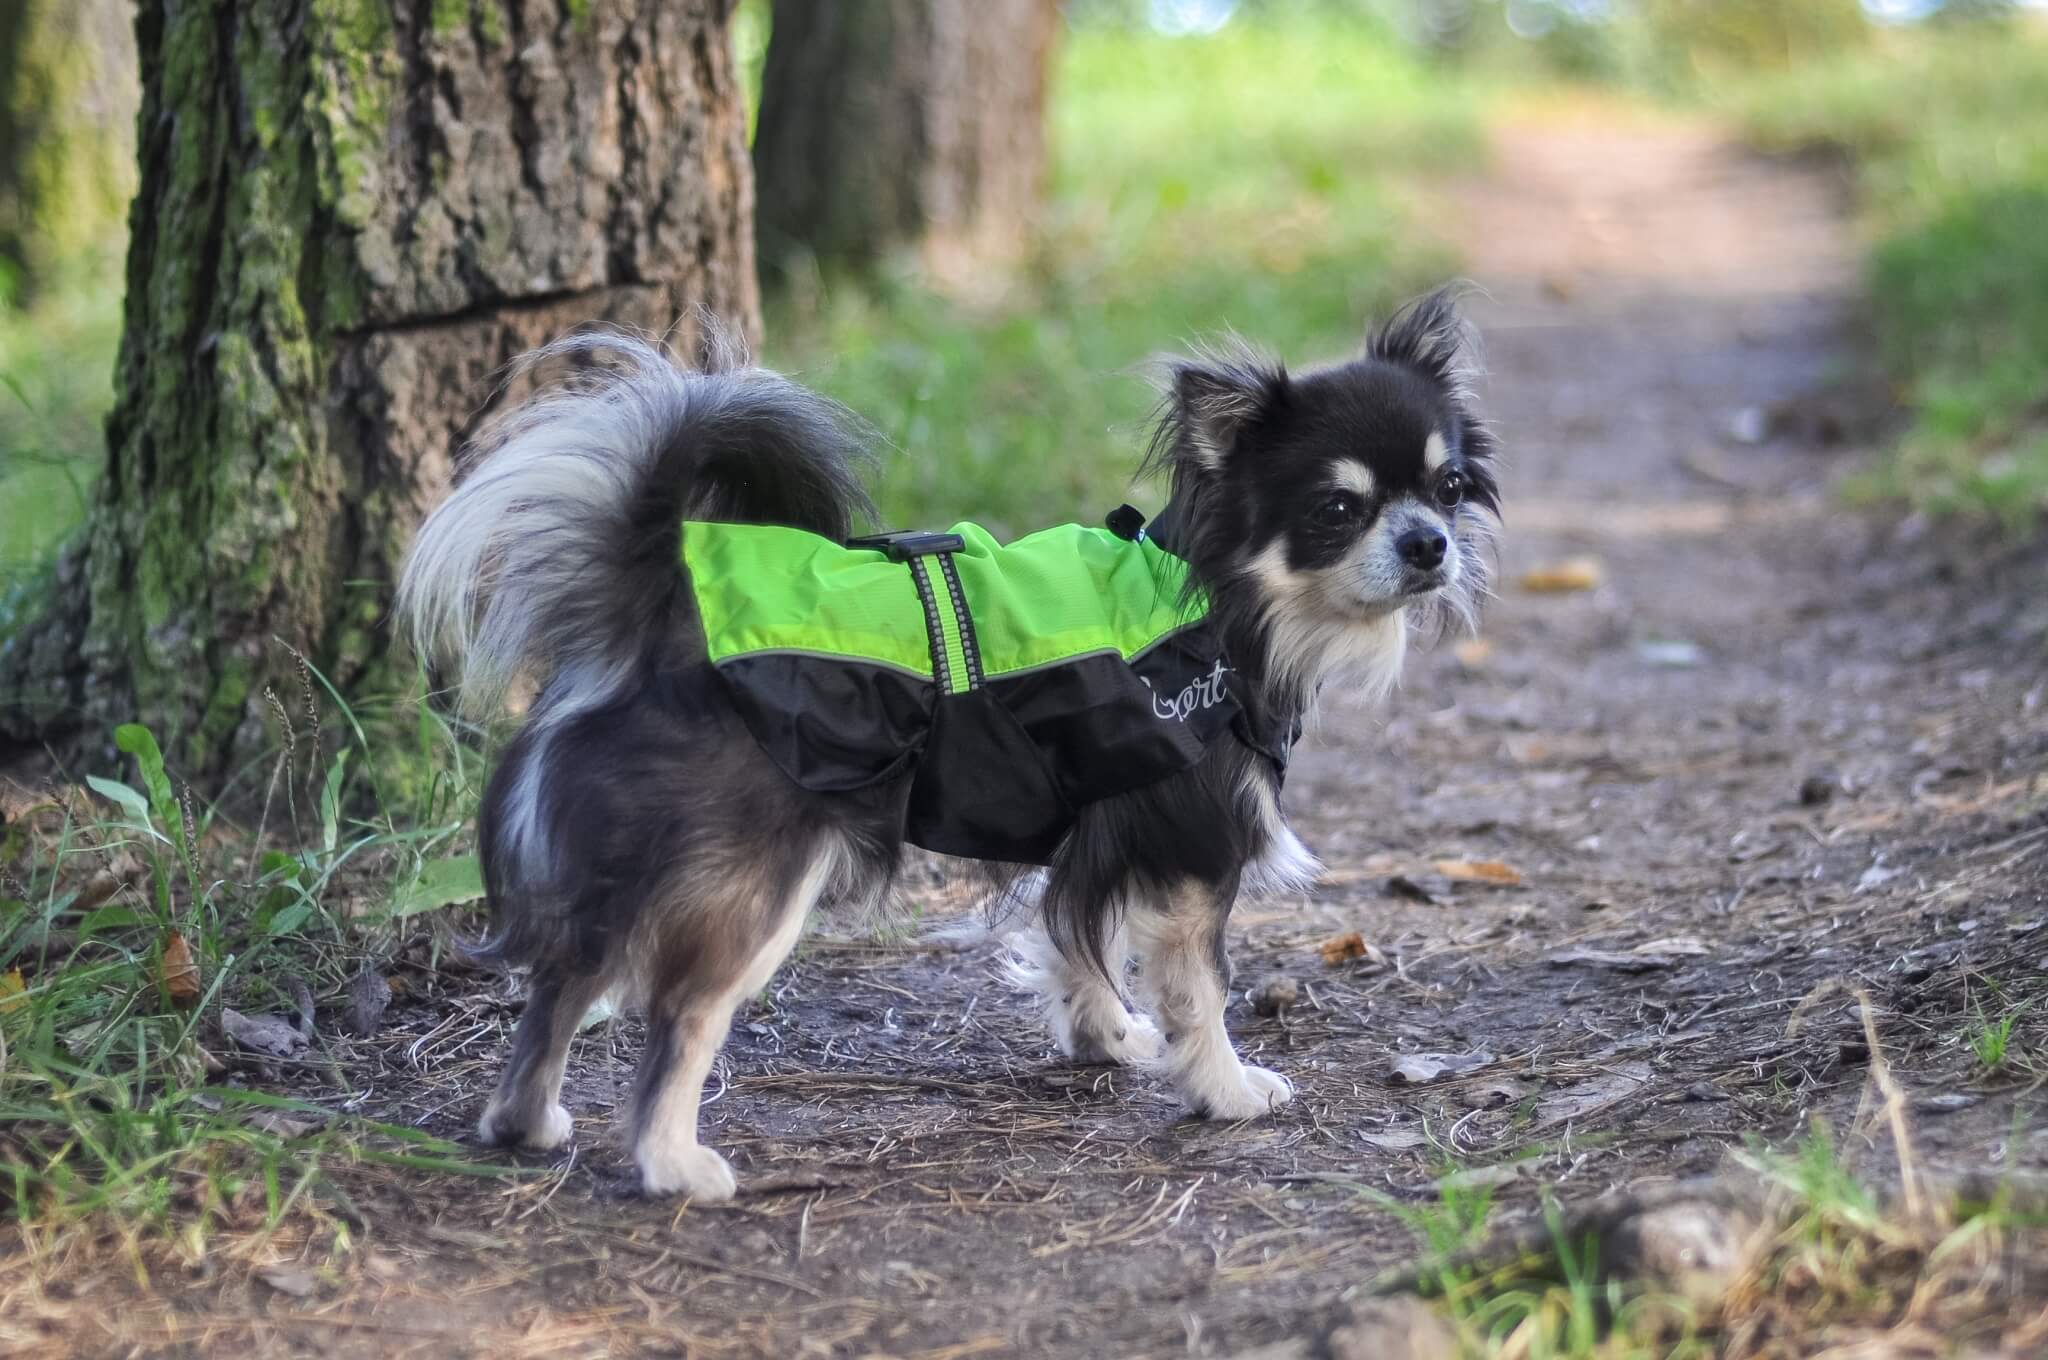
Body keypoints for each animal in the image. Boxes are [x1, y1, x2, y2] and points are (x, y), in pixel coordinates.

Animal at [399, 292, 1499, 1196]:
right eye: (1337, 509)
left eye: (1447, 487)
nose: (1428, 545)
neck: (1220, 609)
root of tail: (655, 621)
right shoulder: (1192, 854)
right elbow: (1197, 989)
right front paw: (1221, 1089)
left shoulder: (1091, 831)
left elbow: (1076, 942)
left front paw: (1106, 1038)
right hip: (752, 890)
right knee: (678, 1017)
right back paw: (673, 1165)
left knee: (561, 984)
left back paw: (528, 1124)